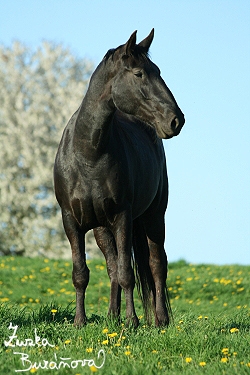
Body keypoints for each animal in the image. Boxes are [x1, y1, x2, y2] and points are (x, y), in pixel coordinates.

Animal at [54, 29, 184, 328]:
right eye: (139, 73)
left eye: (158, 71)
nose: (176, 120)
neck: (88, 154)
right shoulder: (71, 221)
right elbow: (82, 273)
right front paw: (79, 321)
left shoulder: (123, 217)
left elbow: (128, 272)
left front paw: (132, 321)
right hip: (102, 228)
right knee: (112, 265)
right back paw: (112, 315)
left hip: (153, 217)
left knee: (156, 264)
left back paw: (159, 320)